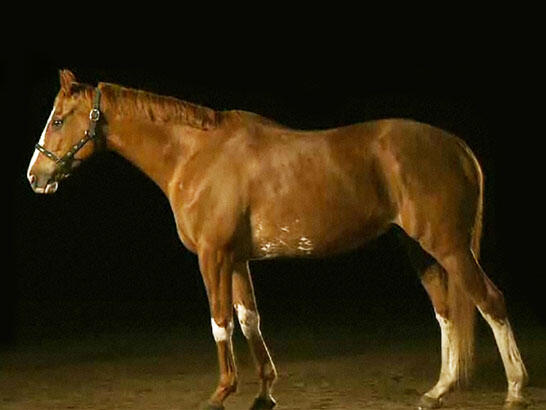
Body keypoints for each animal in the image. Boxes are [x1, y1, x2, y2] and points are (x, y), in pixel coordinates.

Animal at [26, 70, 528, 410]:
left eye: (58, 119)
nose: (35, 176)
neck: (196, 155)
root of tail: (458, 147)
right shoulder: (237, 259)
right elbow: (250, 320)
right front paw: (265, 391)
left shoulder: (213, 257)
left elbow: (221, 322)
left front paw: (221, 393)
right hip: (421, 250)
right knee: (446, 312)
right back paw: (437, 391)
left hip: (450, 247)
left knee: (490, 301)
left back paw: (516, 389)